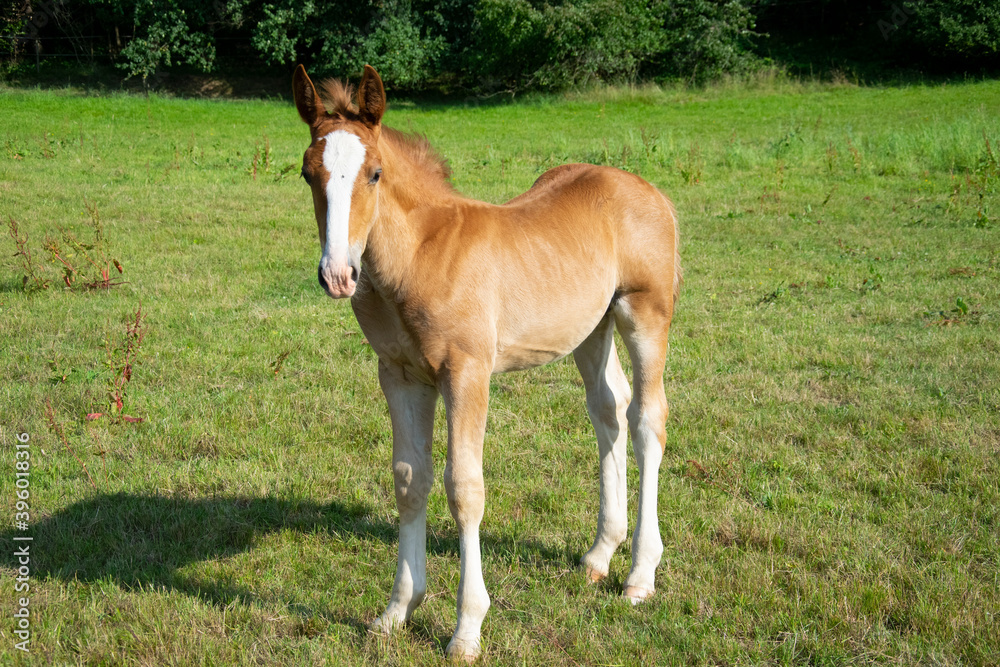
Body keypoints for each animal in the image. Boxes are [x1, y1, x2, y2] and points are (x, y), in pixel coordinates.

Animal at [292, 65, 680, 660]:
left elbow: (465, 490)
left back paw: (640, 575)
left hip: (645, 315)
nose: (338, 274)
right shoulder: (399, 374)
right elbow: (410, 480)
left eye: (375, 173)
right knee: (607, 409)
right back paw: (598, 556)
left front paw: (467, 629)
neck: (420, 257)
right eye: (307, 173)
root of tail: (650, 190)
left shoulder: (466, 373)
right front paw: (397, 610)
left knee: (646, 419)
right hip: (591, 327)